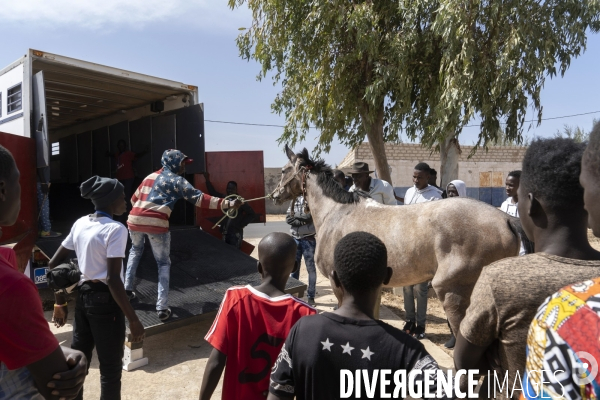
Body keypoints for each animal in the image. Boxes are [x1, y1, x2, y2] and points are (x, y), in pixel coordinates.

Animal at [270, 147, 524, 334]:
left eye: (283, 170)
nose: (274, 195)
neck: (336, 212)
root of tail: (506, 219)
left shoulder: (338, 282)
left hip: (453, 293)